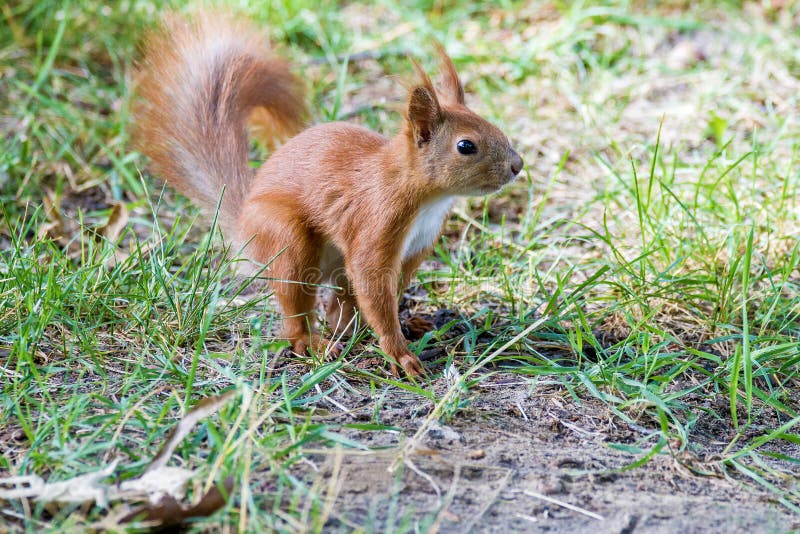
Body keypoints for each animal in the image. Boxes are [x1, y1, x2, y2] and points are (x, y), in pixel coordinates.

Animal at [134, 10, 524, 378]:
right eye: (465, 146)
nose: (517, 165)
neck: (427, 198)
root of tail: (243, 227)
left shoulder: (417, 247)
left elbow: (390, 289)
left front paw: (400, 326)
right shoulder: (377, 218)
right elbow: (371, 278)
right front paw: (398, 352)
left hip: (332, 264)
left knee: (339, 305)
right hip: (285, 237)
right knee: (295, 304)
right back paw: (311, 342)